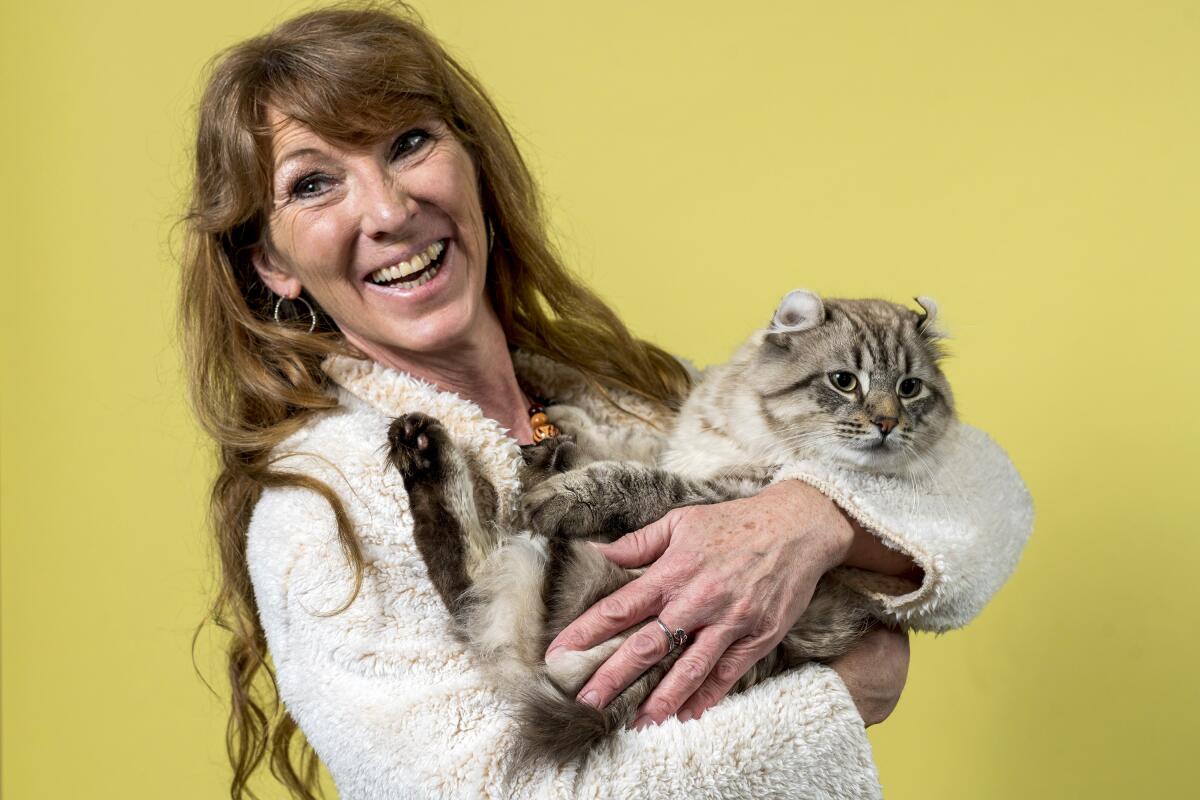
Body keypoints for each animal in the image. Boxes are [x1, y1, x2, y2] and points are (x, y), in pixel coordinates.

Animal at [388, 287, 960, 767]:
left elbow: (634, 478)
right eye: (845, 381)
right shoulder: (678, 445)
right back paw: (428, 446)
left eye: (909, 389)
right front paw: (560, 417)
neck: (748, 428)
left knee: (476, 577)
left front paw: (563, 489)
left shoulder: (732, 494)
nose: (887, 423)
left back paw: (442, 454)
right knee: (472, 582)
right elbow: (622, 440)